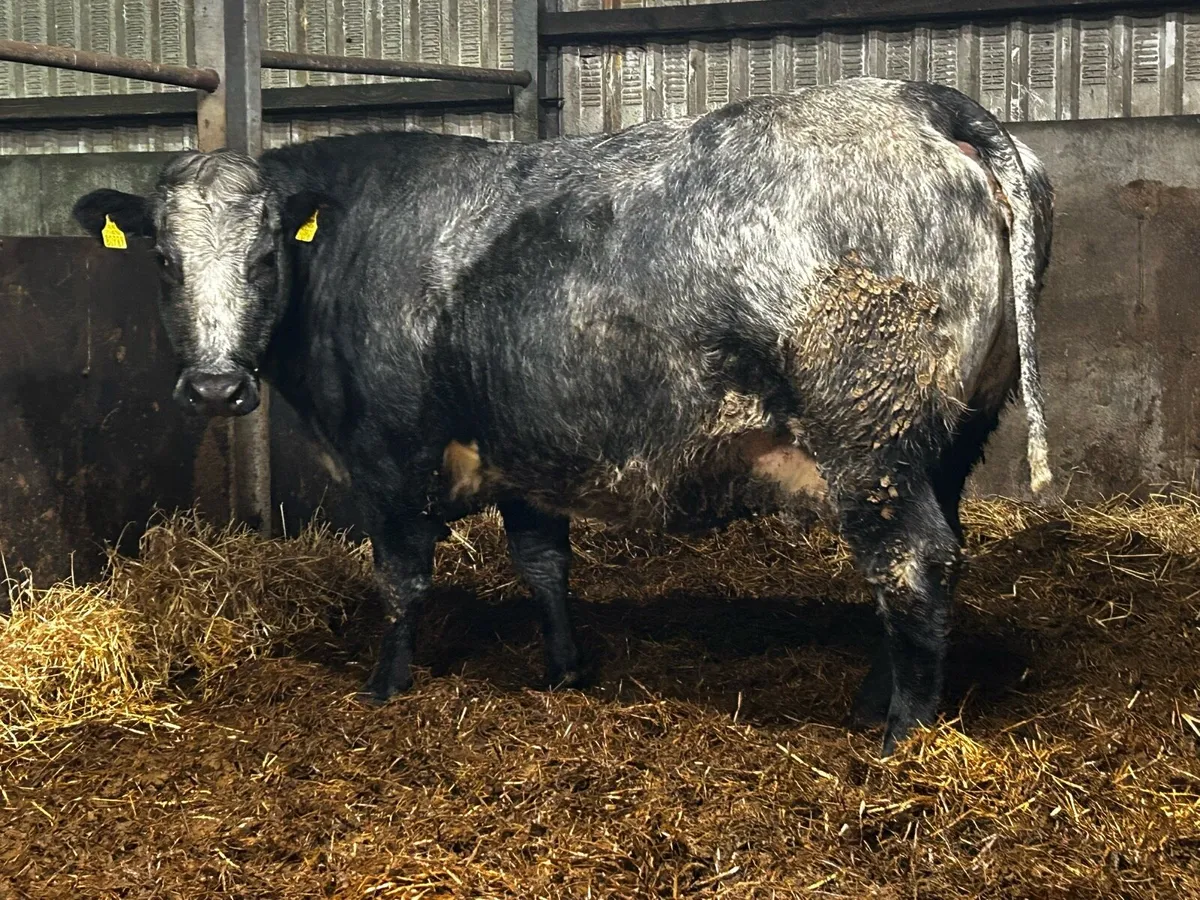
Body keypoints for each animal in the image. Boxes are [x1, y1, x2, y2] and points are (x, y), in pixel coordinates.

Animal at [73, 77, 1053, 756]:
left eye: (267, 255)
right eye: (163, 260)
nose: (213, 389)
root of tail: (921, 98)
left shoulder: (390, 452)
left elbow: (402, 577)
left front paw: (387, 684)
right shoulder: (525, 446)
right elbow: (543, 563)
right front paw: (565, 669)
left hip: (868, 436)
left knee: (912, 560)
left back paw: (903, 736)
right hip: (951, 435)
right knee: (930, 558)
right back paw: (875, 698)